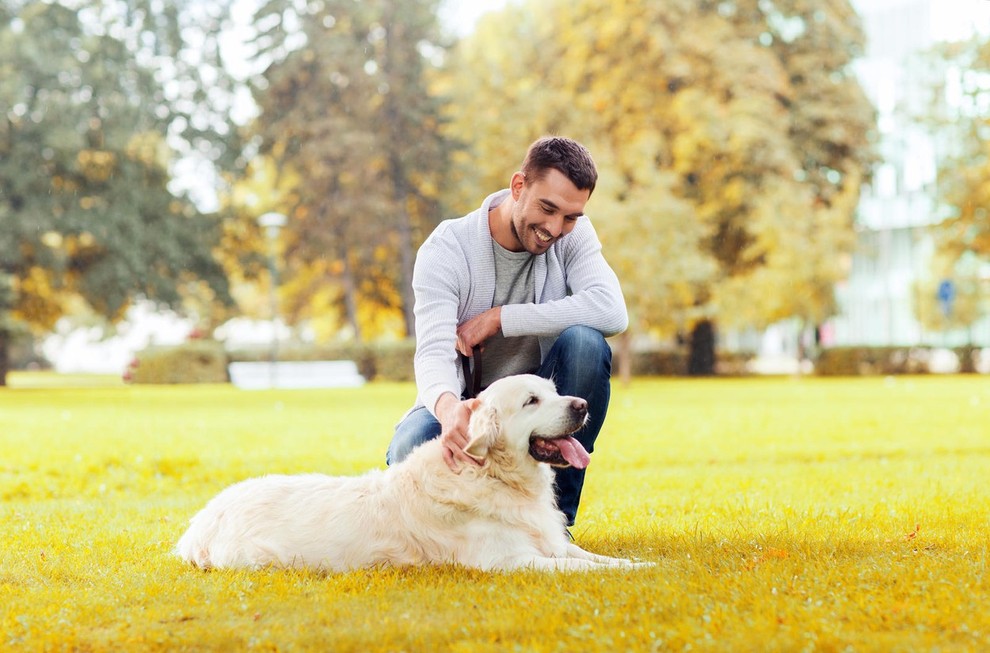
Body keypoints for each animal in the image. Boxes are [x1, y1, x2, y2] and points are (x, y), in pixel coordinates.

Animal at [176, 372, 652, 572]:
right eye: (531, 401)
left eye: (554, 392)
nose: (581, 405)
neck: (494, 477)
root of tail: (203, 519)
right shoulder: (510, 561)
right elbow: (584, 569)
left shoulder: (551, 543)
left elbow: (594, 558)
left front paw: (643, 563)